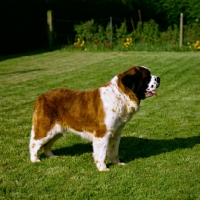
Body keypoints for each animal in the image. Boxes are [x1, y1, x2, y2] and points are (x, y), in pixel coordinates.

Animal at [29, 65, 160, 170]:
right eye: (147, 76)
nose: (158, 78)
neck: (122, 95)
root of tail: (40, 97)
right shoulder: (102, 133)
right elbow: (101, 152)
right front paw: (103, 168)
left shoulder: (116, 132)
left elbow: (113, 150)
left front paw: (117, 163)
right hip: (46, 129)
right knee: (34, 143)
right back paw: (35, 159)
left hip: (57, 131)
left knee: (46, 144)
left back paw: (51, 156)